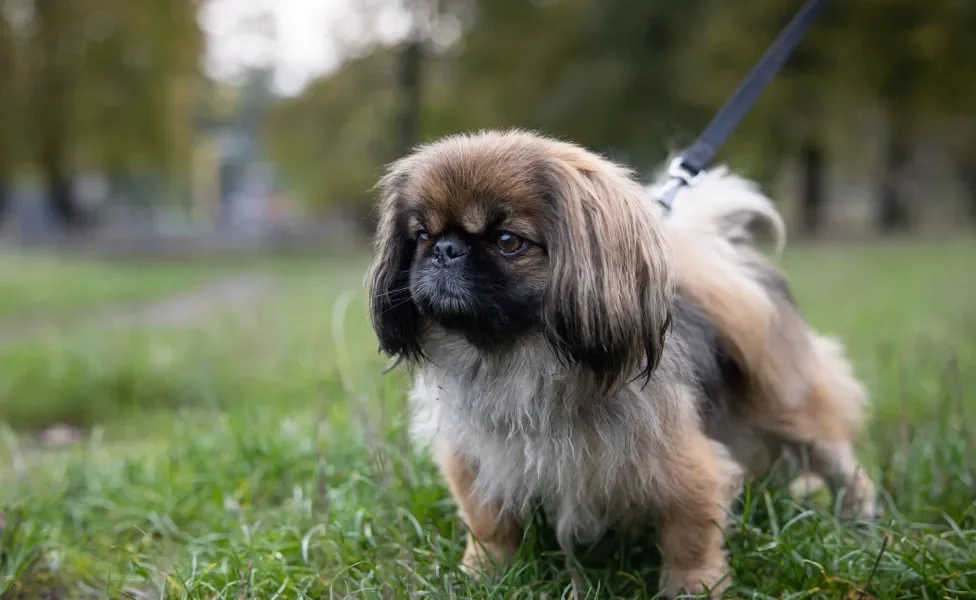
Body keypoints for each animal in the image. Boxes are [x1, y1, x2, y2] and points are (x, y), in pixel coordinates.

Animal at [364, 130, 876, 596]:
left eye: (508, 241)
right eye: (421, 236)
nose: (446, 250)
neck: (518, 360)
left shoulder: (689, 469)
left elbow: (691, 538)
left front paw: (692, 587)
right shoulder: (477, 463)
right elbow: (489, 526)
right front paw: (484, 575)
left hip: (795, 413)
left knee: (843, 467)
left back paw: (860, 521)